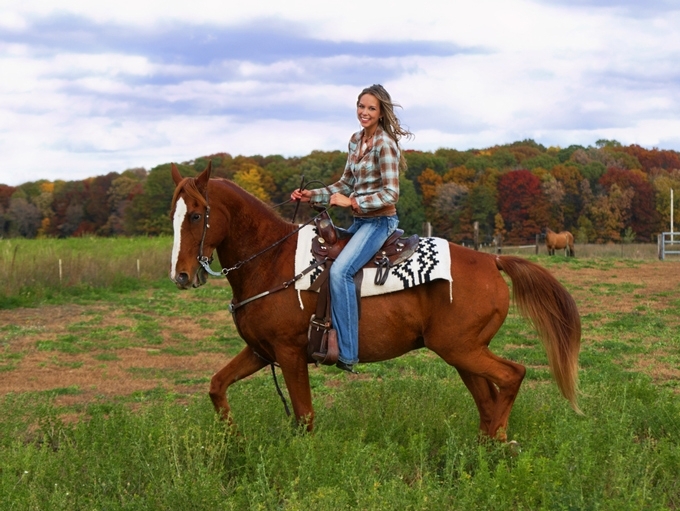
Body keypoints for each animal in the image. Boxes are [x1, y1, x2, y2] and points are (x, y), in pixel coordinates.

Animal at [170, 162, 581, 442]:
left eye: (196, 215)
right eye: (172, 215)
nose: (181, 276)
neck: (270, 261)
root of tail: (491, 260)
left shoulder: (289, 353)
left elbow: (304, 416)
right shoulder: (260, 351)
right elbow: (217, 386)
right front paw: (232, 439)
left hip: (461, 349)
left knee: (512, 375)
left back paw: (499, 441)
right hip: (464, 352)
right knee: (487, 397)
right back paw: (489, 446)